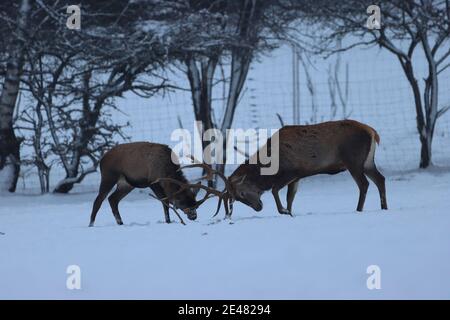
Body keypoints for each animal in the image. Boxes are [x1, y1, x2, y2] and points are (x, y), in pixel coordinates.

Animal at [88, 141, 229, 226]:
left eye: (196, 204)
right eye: (183, 202)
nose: (193, 216)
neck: (166, 169)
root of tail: (101, 160)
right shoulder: (152, 181)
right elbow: (164, 202)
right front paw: (168, 221)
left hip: (127, 184)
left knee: (113, 199)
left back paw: (120, 222)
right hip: (109, 176)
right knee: (98, 200)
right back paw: (91, 224)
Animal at [210, 120, 386, 218]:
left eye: (241, 193)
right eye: (237, 199)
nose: (258, 208)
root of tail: (373, 132)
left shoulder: (292, 171)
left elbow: (275, 190)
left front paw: (284, 211)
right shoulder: (298, 177)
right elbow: (290, 198)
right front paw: (290, 212)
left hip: (353, 160)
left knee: (364, 184)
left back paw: (358, 210)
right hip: (367, 162)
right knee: (380, 179)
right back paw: (384, 207)